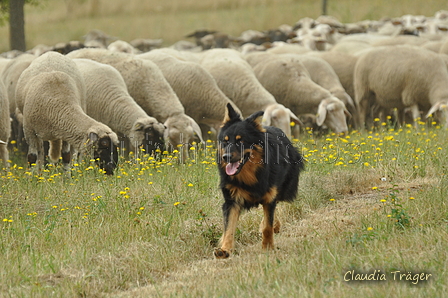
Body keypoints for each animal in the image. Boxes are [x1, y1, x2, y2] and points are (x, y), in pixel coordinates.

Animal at [214, 103, 304, 258]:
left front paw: (267, 247)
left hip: (285, 187)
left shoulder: (269, 195)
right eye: (225, 141)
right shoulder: (232, 200)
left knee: (276, 204)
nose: (226, 157)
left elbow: (268, 225)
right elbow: (229, 227)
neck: (251, 174)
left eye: (240, 140)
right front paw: (225, 249)